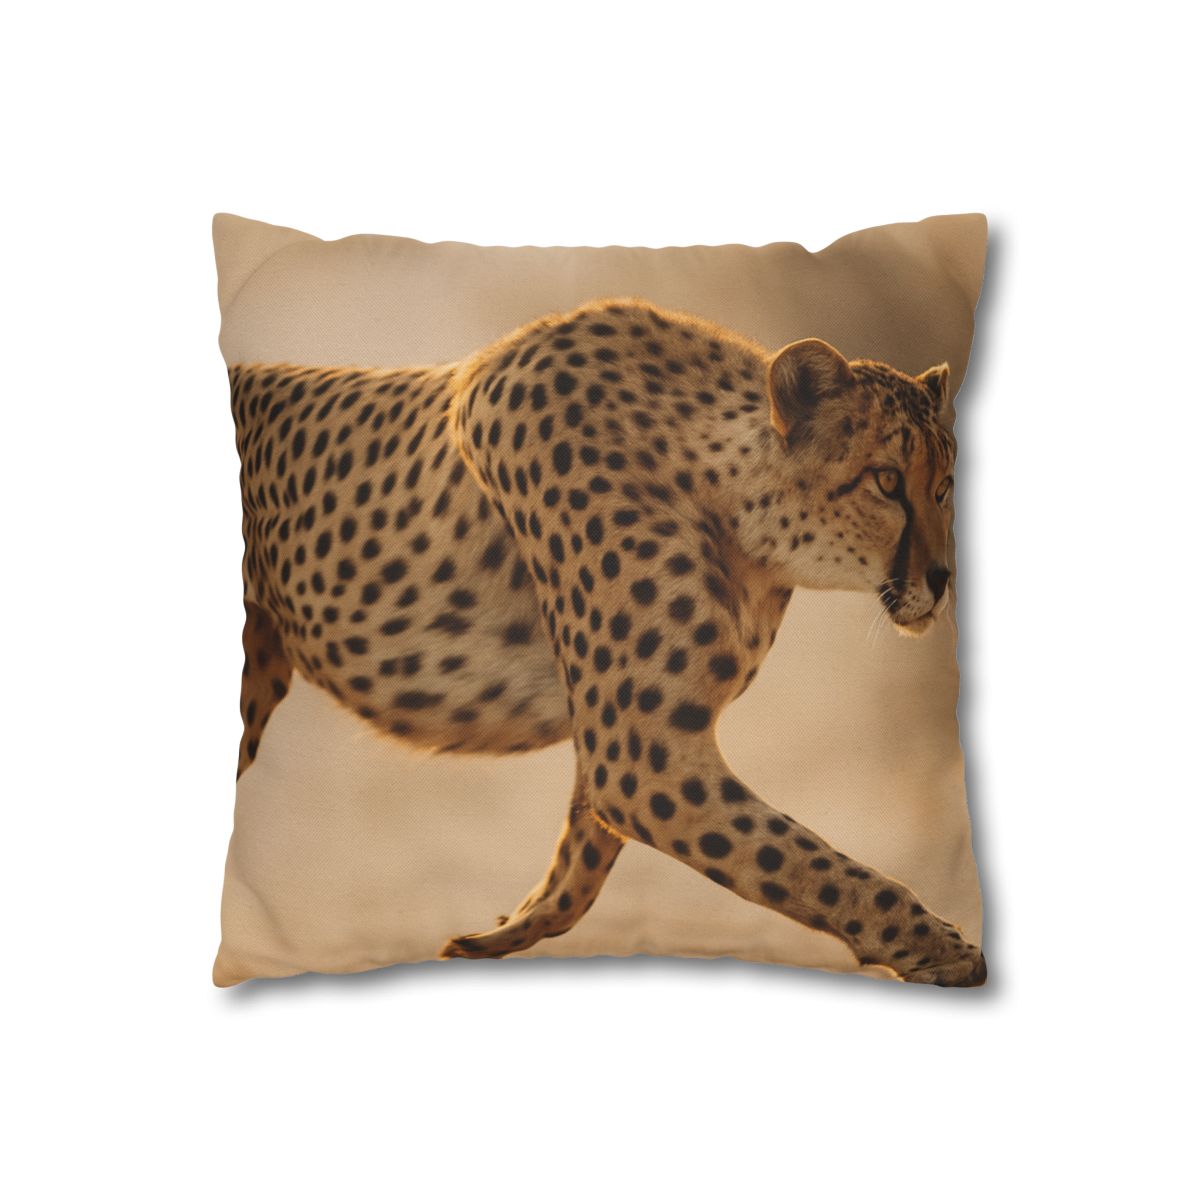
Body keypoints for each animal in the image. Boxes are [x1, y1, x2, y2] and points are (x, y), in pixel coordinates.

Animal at [230, 297, 985, 987]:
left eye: (947, 487)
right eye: (887, 481)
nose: (943, 580)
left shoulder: (626, 739)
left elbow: (582, 860)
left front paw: (495, 934)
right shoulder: (639, 754)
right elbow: (803, 862)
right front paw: (942, 947)